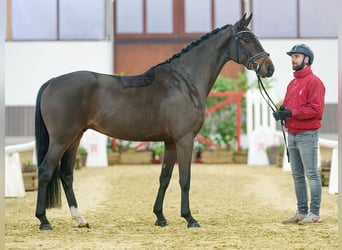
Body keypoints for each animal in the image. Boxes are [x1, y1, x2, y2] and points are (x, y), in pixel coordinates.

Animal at [34, 12, 274, 229]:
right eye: (246, 38)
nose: (269, 67)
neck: (185, 82)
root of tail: (52, 82)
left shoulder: (170, 142)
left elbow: (164, 177)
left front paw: (160, 217)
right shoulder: (185, 140)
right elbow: (184, 179)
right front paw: (190, 218)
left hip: (74, 138)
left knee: (66, 175)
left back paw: (80, 219)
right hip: (61, 139)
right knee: (45, 170)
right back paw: (44, 220)